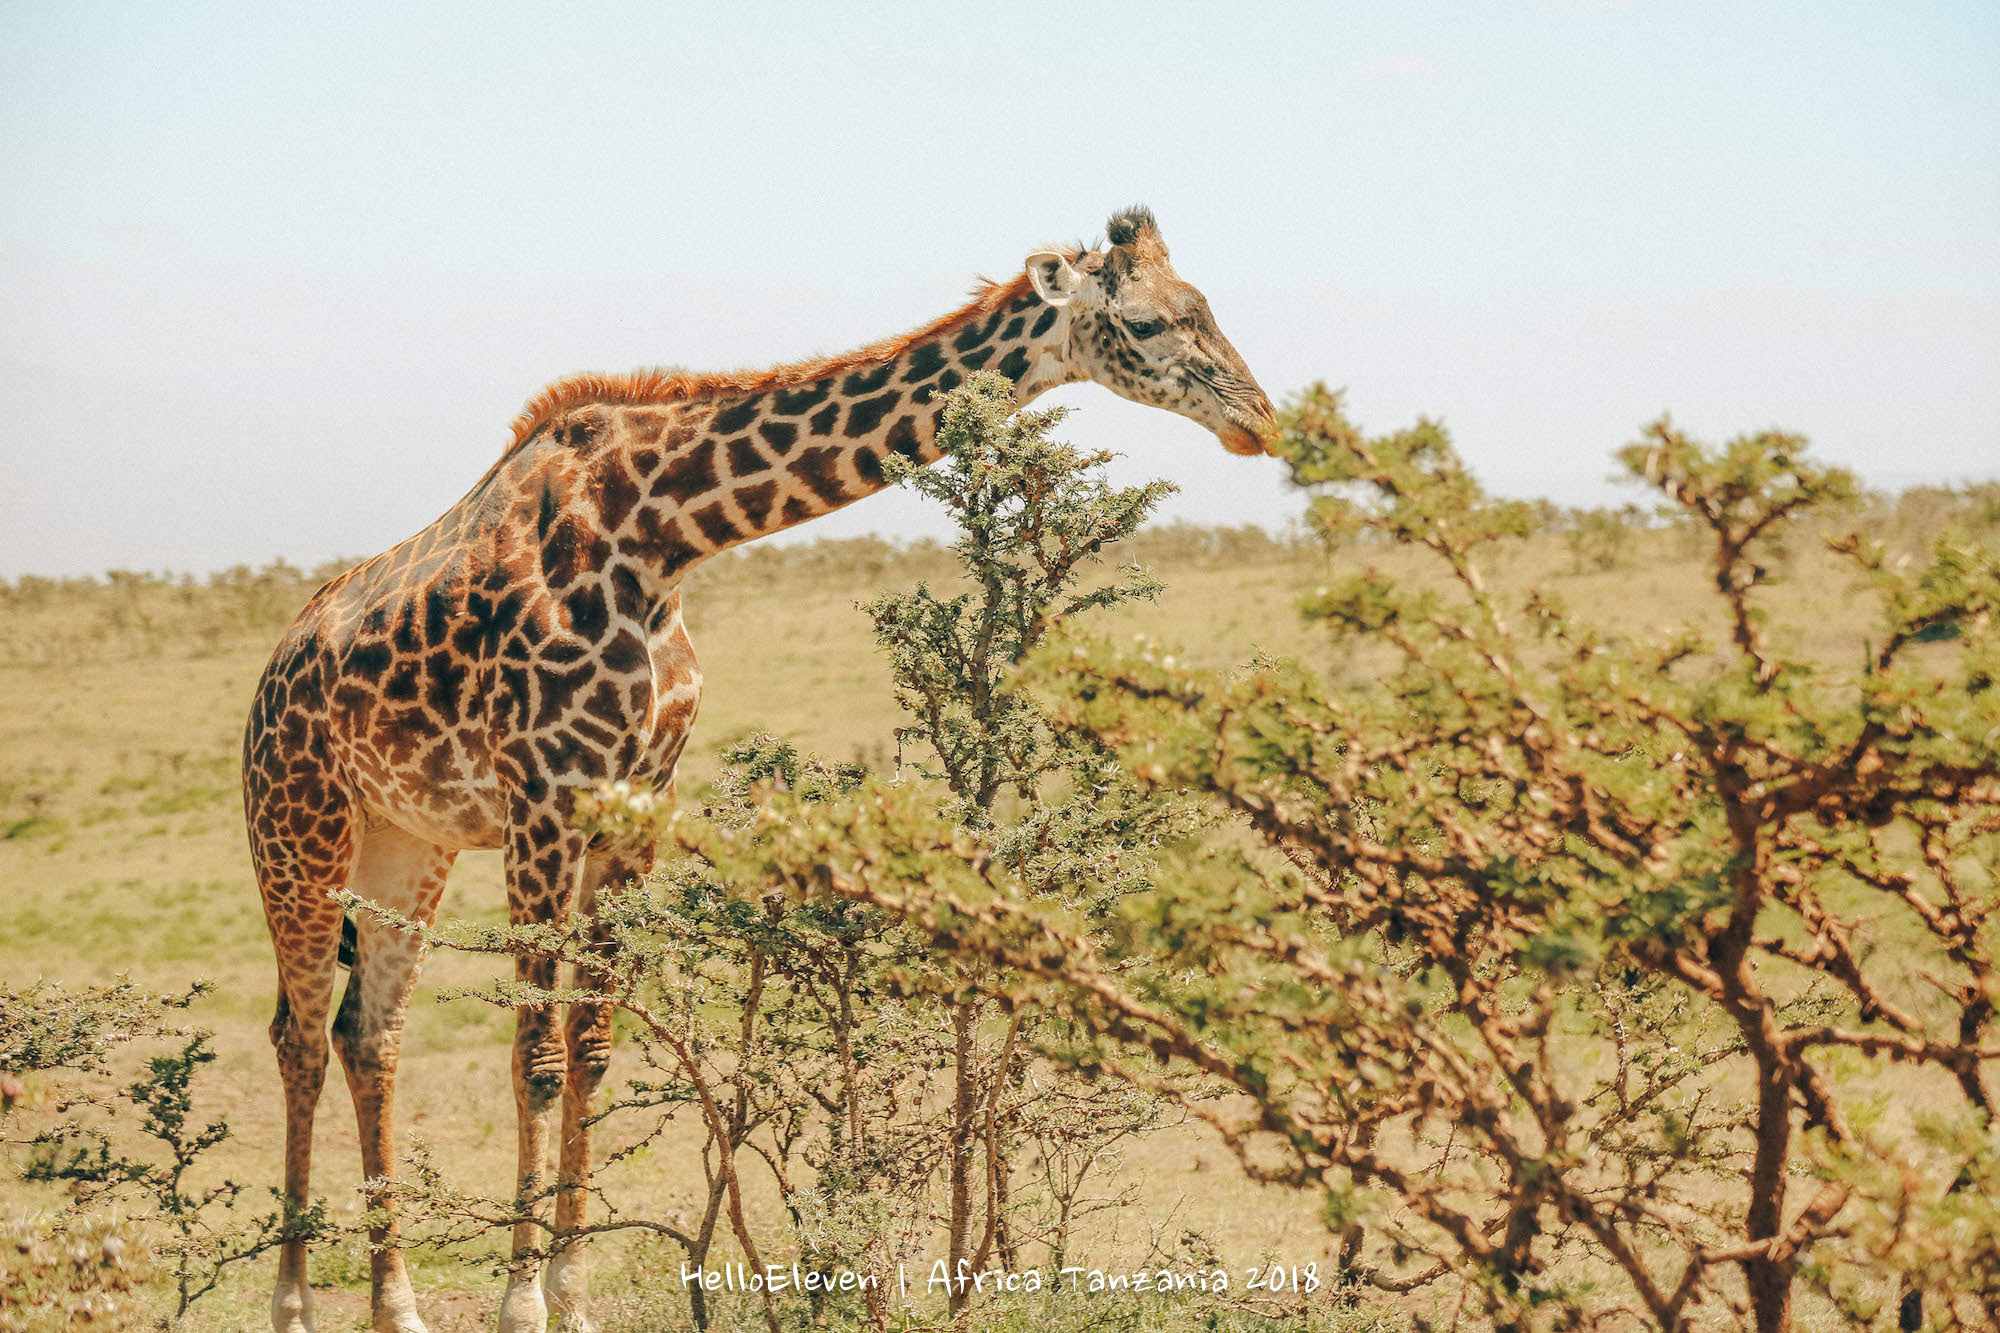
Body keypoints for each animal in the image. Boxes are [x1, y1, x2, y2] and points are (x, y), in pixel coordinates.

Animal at [246, 202, 1280, 1320]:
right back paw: (294, 1303)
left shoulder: (634, 800)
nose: (1261, 421)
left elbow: (591, 1048)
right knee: (299, 1032)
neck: (660, 535)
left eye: (1205, 305)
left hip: (406, 840)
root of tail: (270, 679)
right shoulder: (546, 795)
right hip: (297, 828)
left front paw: (573, 1295)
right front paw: (523, 1305)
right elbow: (535, 1053)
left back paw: (397, 1304)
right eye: (1149, 322)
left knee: (369, 1032)